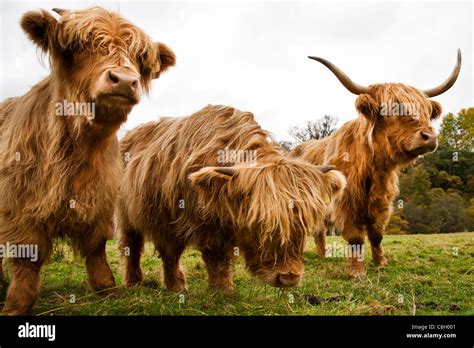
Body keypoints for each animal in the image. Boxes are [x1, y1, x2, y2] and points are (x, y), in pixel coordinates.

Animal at [0, 6, 176, 316]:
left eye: (139, 58)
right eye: (80, 46)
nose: (124, 79)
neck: (77, 148)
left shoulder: (100, 199)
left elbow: (96, 248)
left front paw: (108, 290)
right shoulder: (20, 204)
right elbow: (27, 257)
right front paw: (16, 306)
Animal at [116, 105, 346, 290]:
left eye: (303, 224)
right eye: (260, 224)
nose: (289, 278)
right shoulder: (200, 224)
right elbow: (215, 258)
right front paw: (222, 291)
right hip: (133, 215)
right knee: (136, 246)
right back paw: (140, 283)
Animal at [290, 49, 462, 278]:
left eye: (426, 110)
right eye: (395, 108)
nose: (430, 137)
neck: (373, 168)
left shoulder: (383, 201)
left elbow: (377, 234)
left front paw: (381, 263)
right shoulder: (347, 201)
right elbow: (355, 237)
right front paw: (357, 272)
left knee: (319, 230)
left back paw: (323, 254)